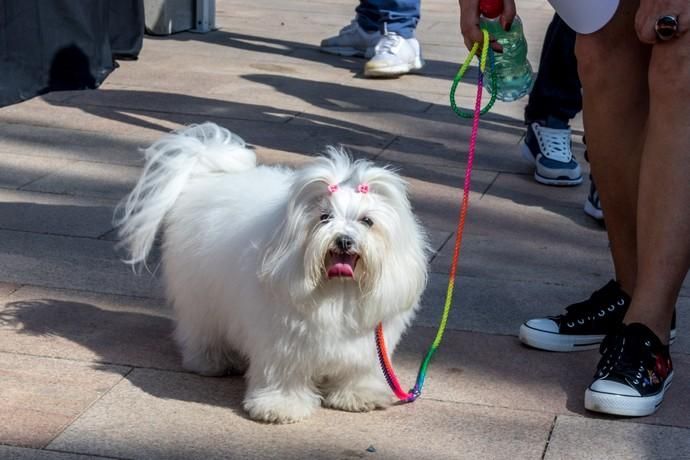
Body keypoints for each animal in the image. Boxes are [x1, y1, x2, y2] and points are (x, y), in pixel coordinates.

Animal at [115, 123, 428, 424]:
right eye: (324, 217)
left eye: (367, 221)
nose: (343, 240)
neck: (337, 290)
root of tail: (209, 174)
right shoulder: (283, 341)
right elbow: (284, 373)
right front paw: (280, 406)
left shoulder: (365, 346)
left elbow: (357, 370)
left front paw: (358, 395)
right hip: (200, 296)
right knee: (202, 330)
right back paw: (211, 362)